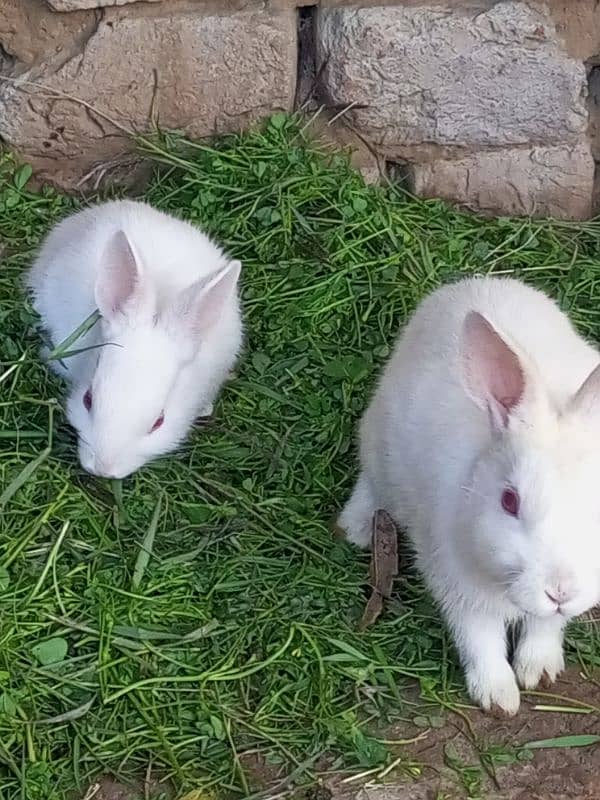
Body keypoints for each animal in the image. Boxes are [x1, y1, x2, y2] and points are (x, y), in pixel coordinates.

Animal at [338, 278, 600, 716]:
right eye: (509, 502)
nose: (560, 591)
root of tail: (474, 282)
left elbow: (546, 625)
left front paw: (538, 671)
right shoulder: (456, 584)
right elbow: (479, 638)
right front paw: (498, 697)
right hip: (376, 442)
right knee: (372, 483)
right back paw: (354, 528)